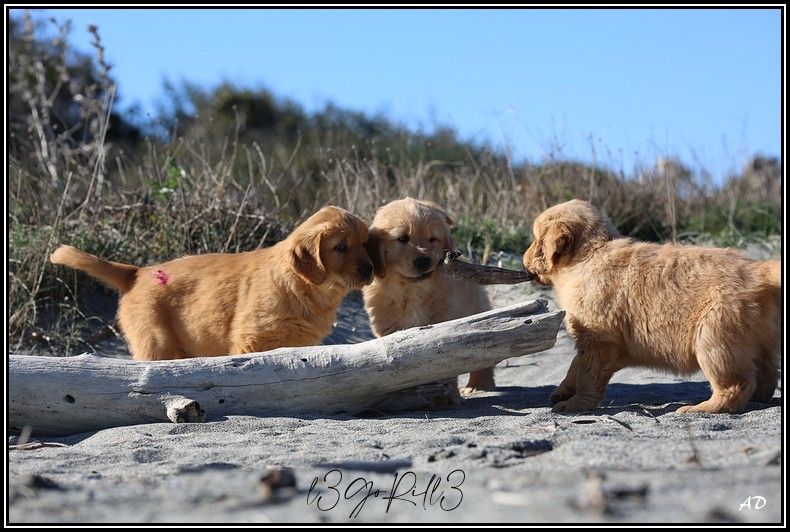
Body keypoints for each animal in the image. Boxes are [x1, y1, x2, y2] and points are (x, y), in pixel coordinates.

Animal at [51, 206, 376, 360]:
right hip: (156, 343)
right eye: (341, 247)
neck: (306, 287)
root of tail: (138, 272)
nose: (370, 269)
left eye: (365, 243)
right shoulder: (252, 340)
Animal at [364, 196, 496, 394]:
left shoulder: (446, 326)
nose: (423, 261)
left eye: (432, 239)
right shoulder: (388, 327)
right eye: (403, 239)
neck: (413, 291)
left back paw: (478, 386)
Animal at [524, 200, 784, 416]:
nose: (523, 259)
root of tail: (758, 270)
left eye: (536, 240)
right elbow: (575, 365)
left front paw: (576, 404)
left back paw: (700, 408)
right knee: (767, 378)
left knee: (736, 385)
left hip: (715, 339)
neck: (588, 256)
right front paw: (563, 390)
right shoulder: (591, 340)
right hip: (755, 342)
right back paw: (757, 399)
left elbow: (587, 374)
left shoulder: (599, 340)